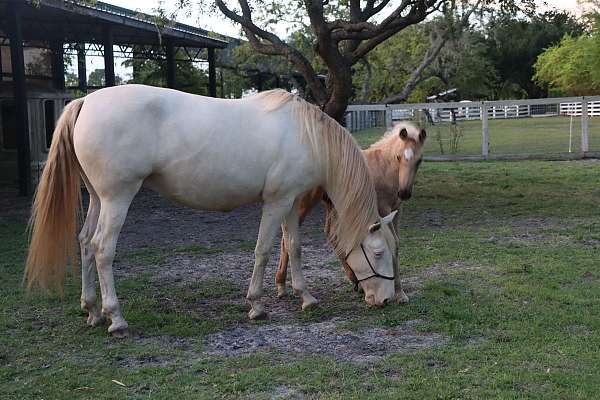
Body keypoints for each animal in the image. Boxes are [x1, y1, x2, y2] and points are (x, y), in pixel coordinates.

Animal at [24, 86, 398, 336]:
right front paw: (257, 305)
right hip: (117, 197)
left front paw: (305, 297)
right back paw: (116, 319)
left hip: (97, 198)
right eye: (378, 253)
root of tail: (86, 101)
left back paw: (92, 310)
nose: (387, 301)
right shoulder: (276, 202)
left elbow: (294, 248)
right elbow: (263, 250)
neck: (307, 136)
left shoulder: (291, 202)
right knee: (102, 248)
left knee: (85, 243)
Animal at [276, 122, 426, 304]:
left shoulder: (397, 211)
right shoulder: (382, 210)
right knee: (287, 240)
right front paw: (398, 293)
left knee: (330, 235)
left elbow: (396, 244)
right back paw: (282, 286)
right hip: (304, 203)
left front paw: (399, 292)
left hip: (332, 205)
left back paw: (355, 281)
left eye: (419, 160)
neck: (384, 168)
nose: (404, 193)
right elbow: (392, 242)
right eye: (398, 157)